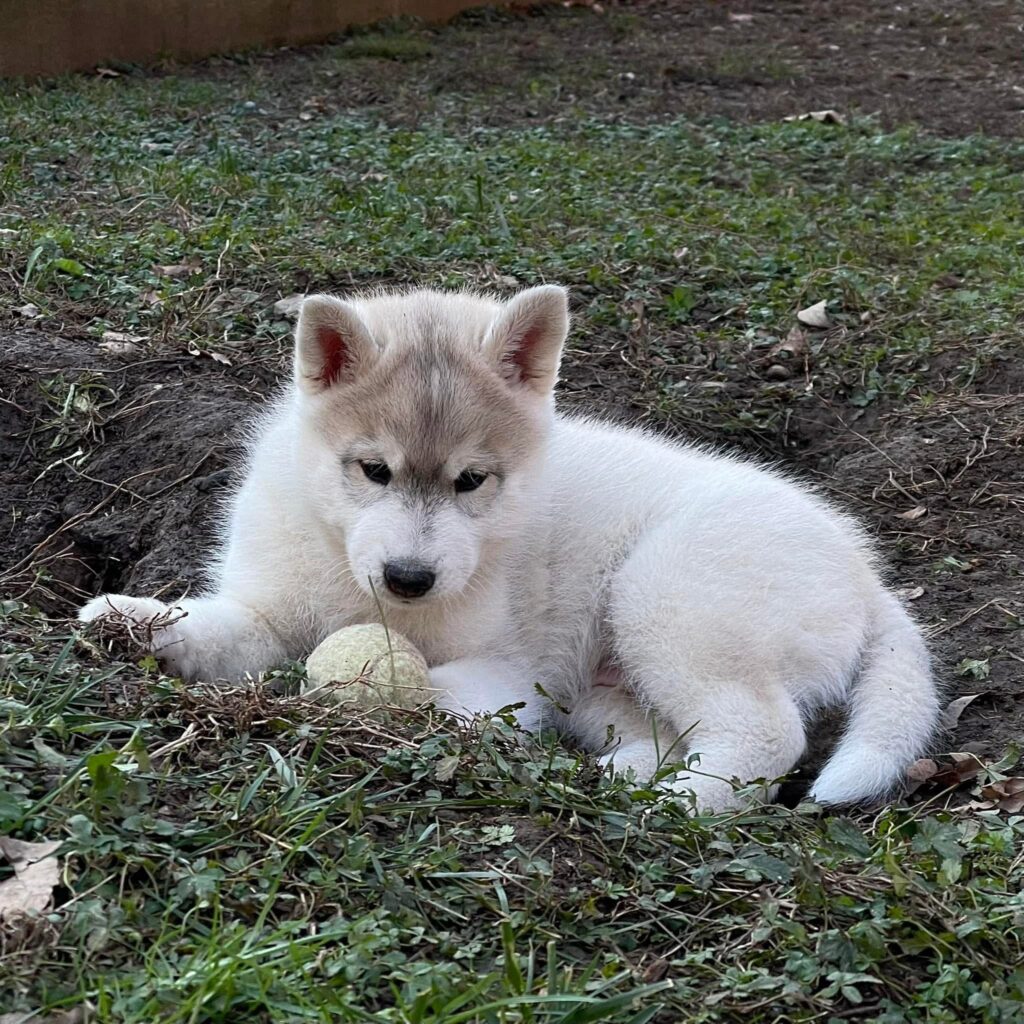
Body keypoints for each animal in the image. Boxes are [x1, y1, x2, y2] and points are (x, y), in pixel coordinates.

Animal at [81, 286, 937, 806]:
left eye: (471, 481)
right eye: (373, 470)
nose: (409, 577)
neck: (354, 581)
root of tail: (868, 579)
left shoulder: (510, 667)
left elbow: (434, 690)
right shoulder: (269, 606)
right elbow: (217, 626)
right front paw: (129, 620)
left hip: (667, 598)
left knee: (771, 735)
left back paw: (681, 801)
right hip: (612, 685)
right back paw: (627, 773)